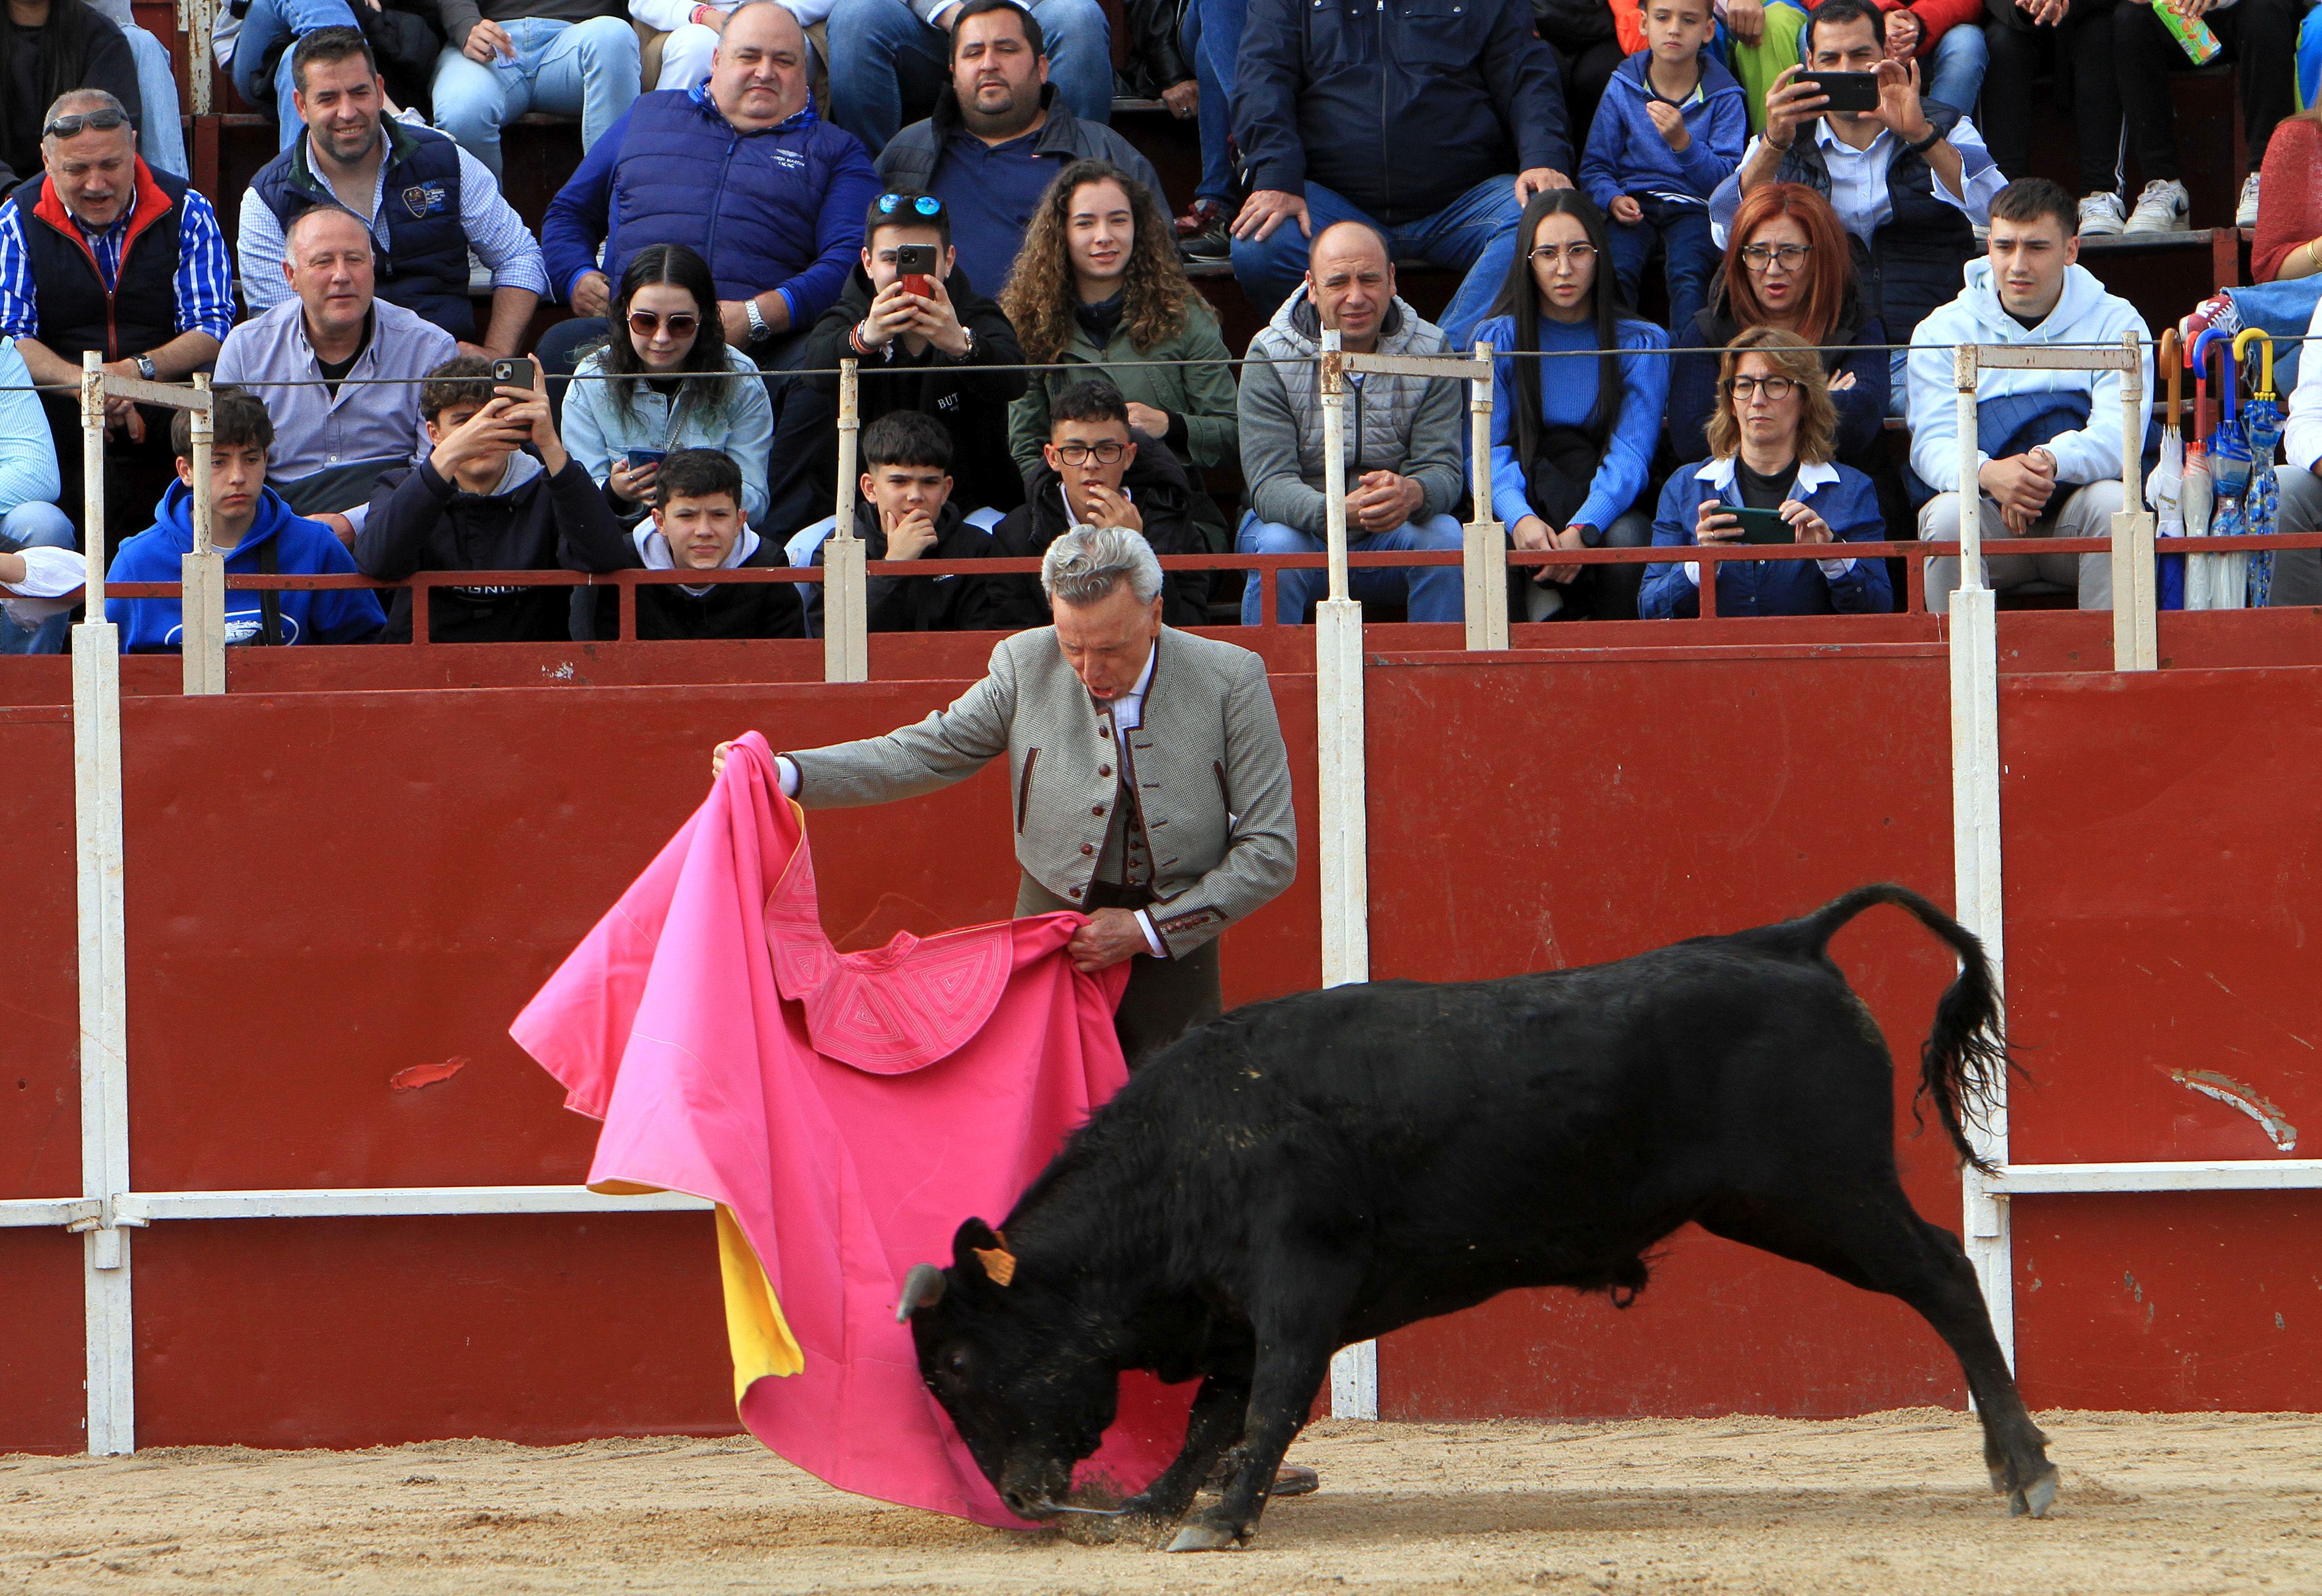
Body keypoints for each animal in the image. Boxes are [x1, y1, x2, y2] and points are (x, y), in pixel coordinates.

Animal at [896, 887, 2062, 1551]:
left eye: (954, 1361)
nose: (1021, 1498)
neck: (1188, 1147)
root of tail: (1786, 941)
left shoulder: (1297, 1284)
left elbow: (1267, 1401)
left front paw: (1220, 1521)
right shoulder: (1234, 1309)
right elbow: (1214, 1416)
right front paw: (1156, 1508)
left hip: (1823, 1194)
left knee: (1946, 1275)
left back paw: (2028, 1469)